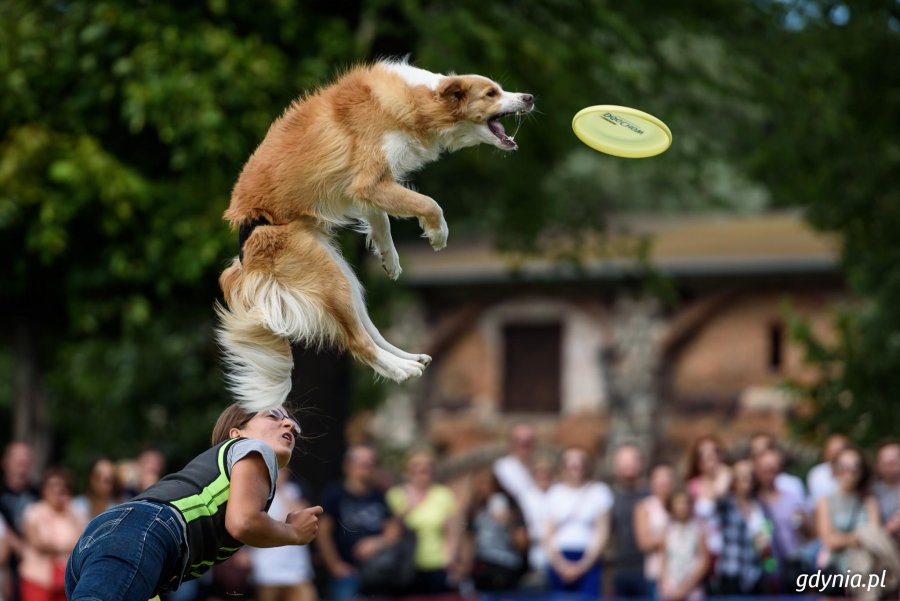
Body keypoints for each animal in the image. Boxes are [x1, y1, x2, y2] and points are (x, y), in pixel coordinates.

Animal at [218, 58, 536, 410]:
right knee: (358, 343)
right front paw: (437, 233)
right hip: (329, 278)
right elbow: (429, 203)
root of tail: (244, 253)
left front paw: (389, 257)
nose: (529, 97)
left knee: (370, 331)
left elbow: (381, 218)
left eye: (500, 89)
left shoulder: (367, 190)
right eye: (491, 93)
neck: (418, 99)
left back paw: (410, 359)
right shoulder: (368, 182)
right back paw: (402, 371)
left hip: (344, 277)